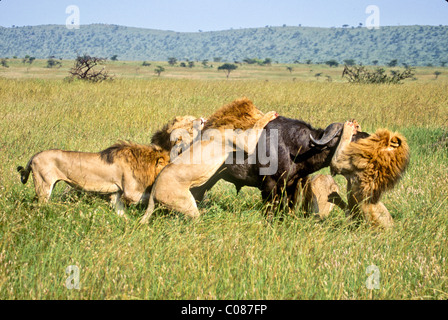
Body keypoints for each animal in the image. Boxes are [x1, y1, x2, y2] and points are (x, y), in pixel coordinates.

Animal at [16, 141, 169, 214]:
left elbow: (121, 212)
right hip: (44, 186)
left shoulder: (116, 194)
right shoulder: (131, 193)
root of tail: (34, 156)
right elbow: (149, 197)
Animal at [140, 97, 278, 222]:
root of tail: (153, 190)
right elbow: (257, 125)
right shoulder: (244, 144)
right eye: (259, 110)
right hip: (184, 203)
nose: (201, 119)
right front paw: (270, 115)